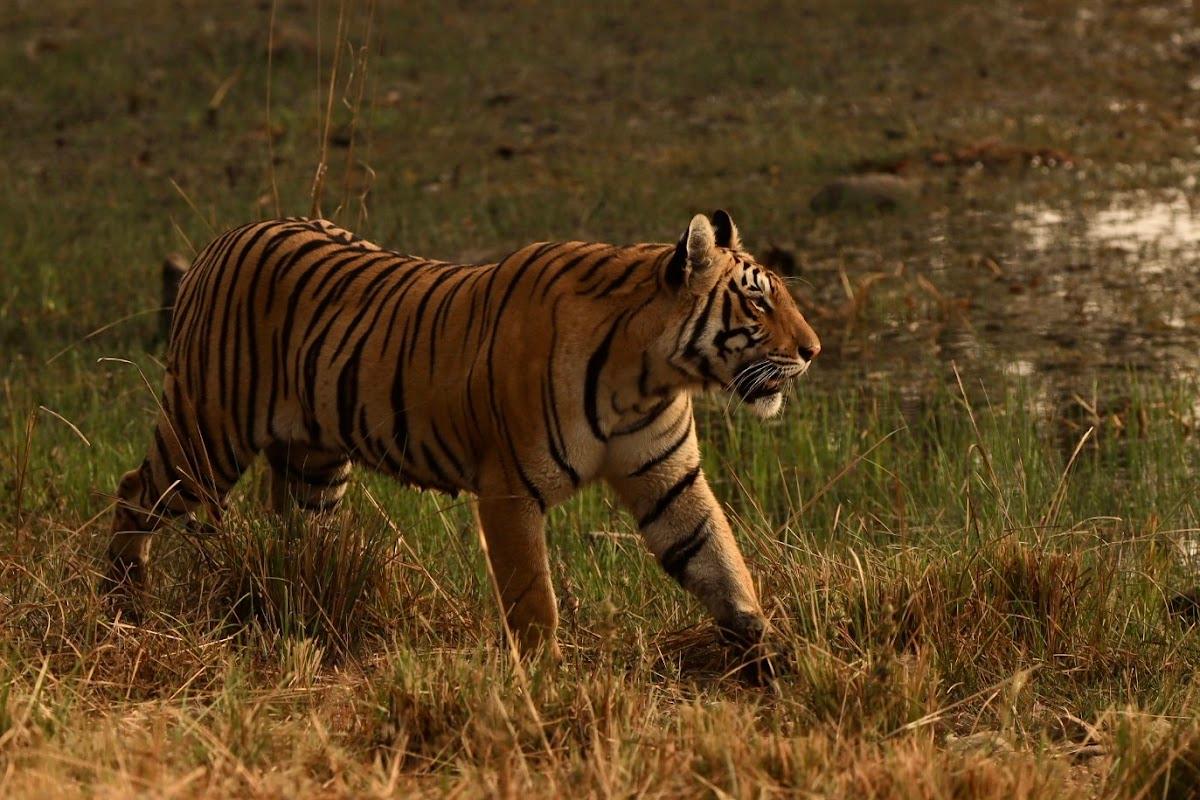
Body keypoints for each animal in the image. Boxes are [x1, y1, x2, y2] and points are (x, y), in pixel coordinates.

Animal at [104, 210, 821, 663]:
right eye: (758, 302)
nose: (813, 351)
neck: (649, 374)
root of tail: (225, 237)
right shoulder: (509, 489)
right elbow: (534, 602)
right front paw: (546, 683)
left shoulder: (668, 479)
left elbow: (720, 563)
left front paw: (770, 658)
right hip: (207, 434)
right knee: (136, 490)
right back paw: (123, 609)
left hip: (314, 466)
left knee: (294, 531)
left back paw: (299, 616)